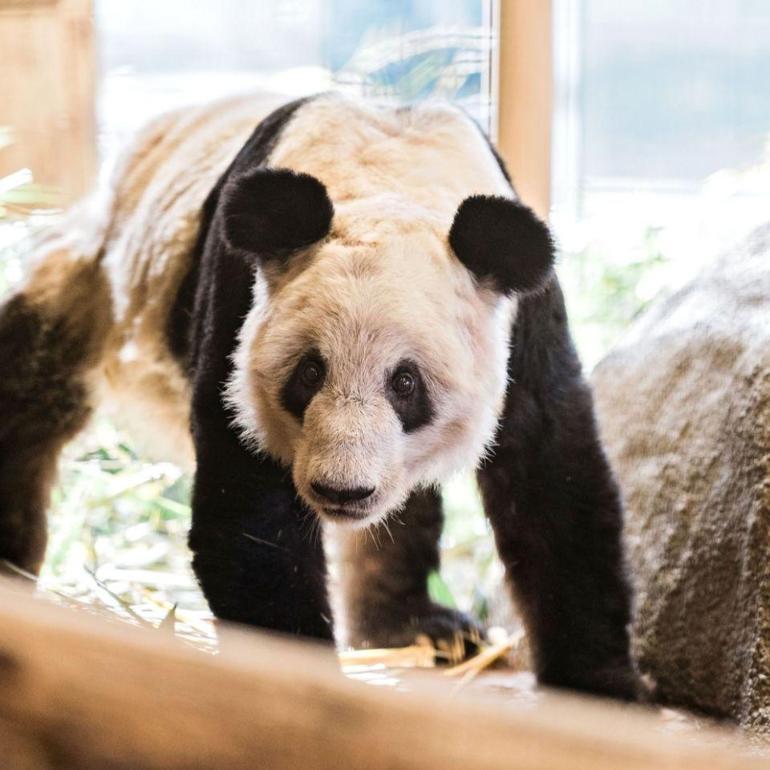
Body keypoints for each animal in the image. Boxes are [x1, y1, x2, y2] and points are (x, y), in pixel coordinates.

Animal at [0, 93, 632, 700]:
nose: (341, 490)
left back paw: (417, 628)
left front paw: (598, 686)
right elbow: (250, 511)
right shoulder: (241, 303)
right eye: (308, 373)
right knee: (29, 399)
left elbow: (552, 483)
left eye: (406, 384)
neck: (388, 183)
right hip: (91, 276)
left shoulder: (522, 323)